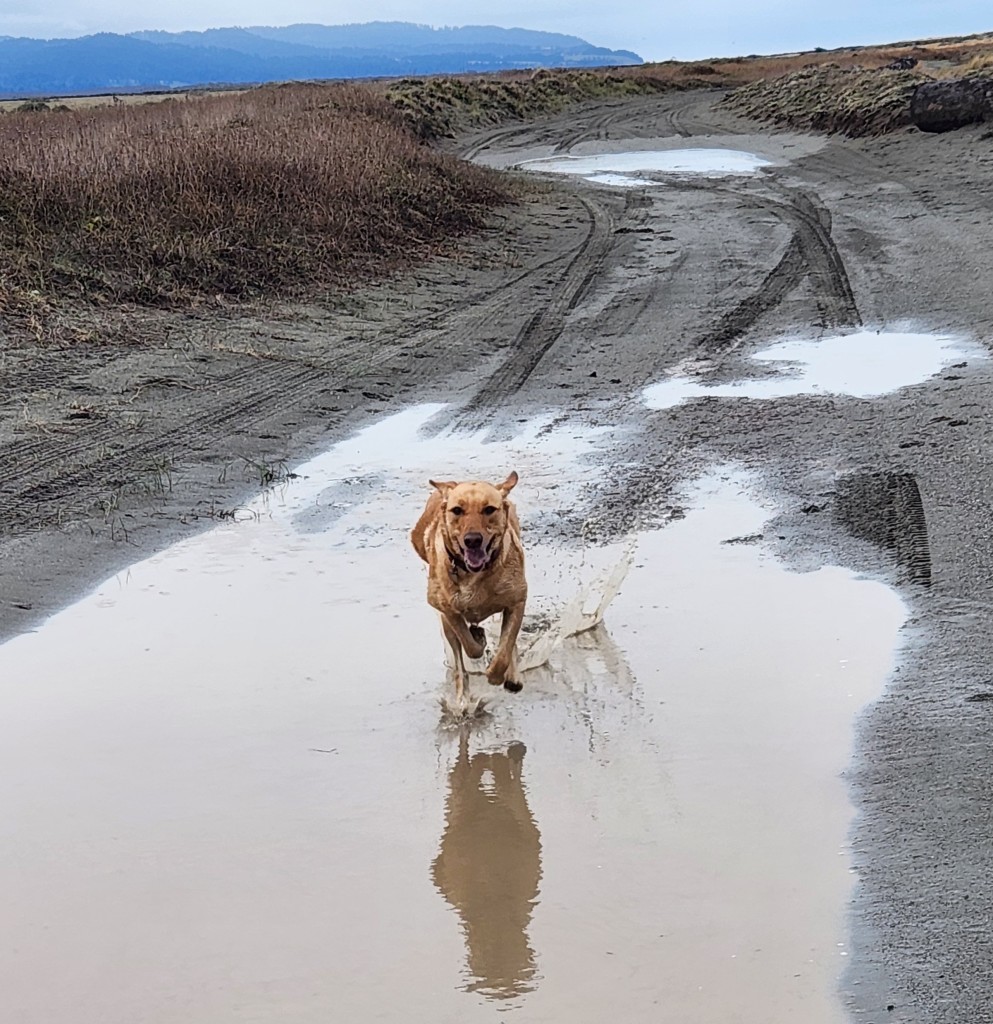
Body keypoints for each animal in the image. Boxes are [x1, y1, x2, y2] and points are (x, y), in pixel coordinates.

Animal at [409, 473, 528, 704]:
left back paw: (512, 678)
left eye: (489, 509)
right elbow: (470, 647)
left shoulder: (517, 600)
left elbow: (506, 647)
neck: (474, 573)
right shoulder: (447, 610)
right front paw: (478, 640)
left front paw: (497, 675)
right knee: (459, 663)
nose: (472, 540)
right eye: (457, 510)